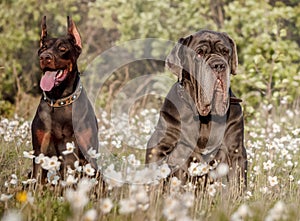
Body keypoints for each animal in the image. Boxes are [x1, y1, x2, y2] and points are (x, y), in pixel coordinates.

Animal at [32, 16, 99, 182]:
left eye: (62, 48)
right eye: (43, 48)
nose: (45, 57)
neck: (60, 99)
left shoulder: (85, 150)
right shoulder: (39, 149)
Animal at [145, 29, 246, 190]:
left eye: (225, 52)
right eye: (199, 53)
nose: (218, 65)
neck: (205, 117)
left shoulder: (235, 150)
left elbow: (238, 183)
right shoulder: (159, 145)